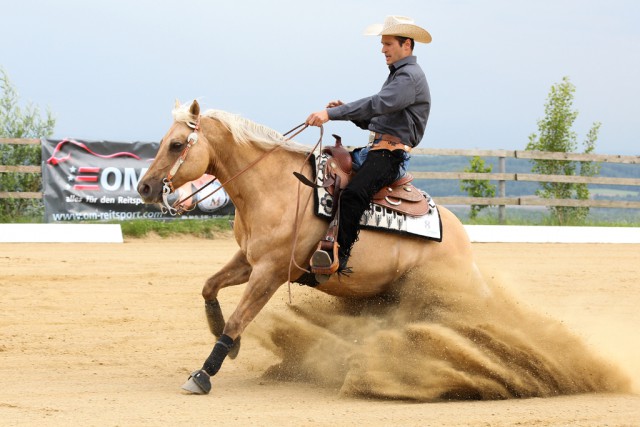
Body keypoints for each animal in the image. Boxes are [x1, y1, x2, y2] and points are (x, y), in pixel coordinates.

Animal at [138, 99, 488, 394]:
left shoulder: (270, 272)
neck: (273, 186)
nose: (145, 187)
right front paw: (225, 338)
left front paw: (203, 373)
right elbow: (209, 286)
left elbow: (240, 318)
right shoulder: (250, 260)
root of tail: (460, 238)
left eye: (177, 144)